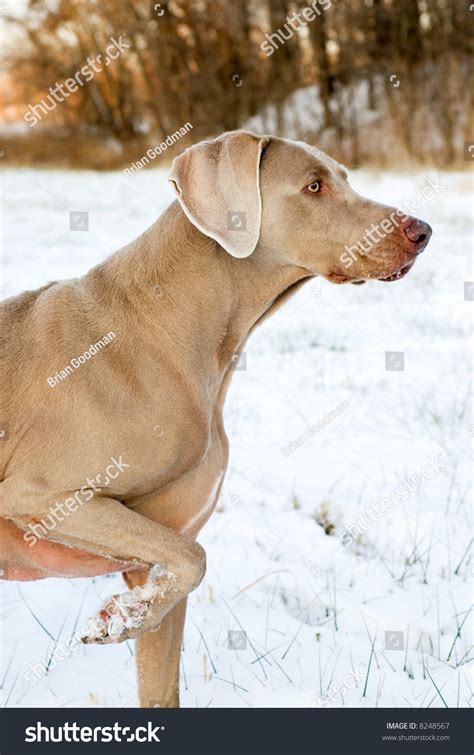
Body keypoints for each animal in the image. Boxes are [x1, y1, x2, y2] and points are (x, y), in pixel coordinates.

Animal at [0, 131, 430, 708]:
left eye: (345, 177)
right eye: (314, 186)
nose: (422, 232)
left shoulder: (153, 557)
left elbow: (170, 636)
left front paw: (130, 615)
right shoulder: (41, 496)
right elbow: (195, 557)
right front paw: (117, 619)